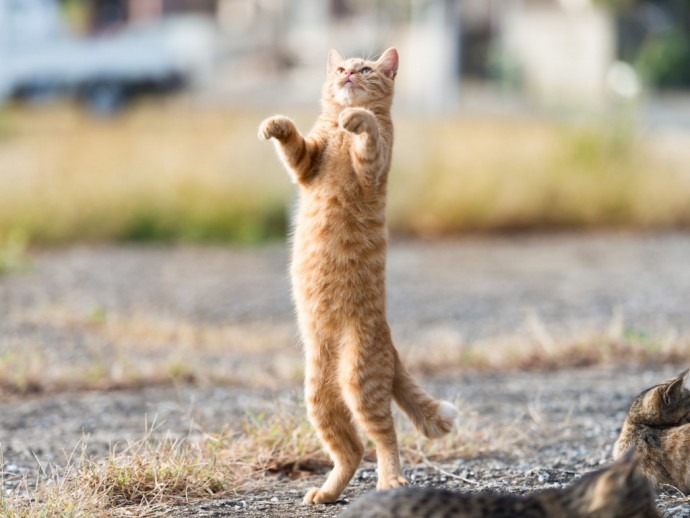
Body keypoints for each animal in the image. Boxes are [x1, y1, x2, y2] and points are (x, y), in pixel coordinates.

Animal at [255, 47, 454, 504]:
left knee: (385, 438)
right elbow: (294, 143)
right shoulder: (307, 162)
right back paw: (326, 493)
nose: (347, 75)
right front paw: (276, 124)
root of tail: (391, 344)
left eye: (364, 69)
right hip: (319, 398)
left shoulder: (373, 167)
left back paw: (391, 481)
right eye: (342, 68)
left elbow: (369, 134)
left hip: (360, 382)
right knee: (351, 450)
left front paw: (357, 118)